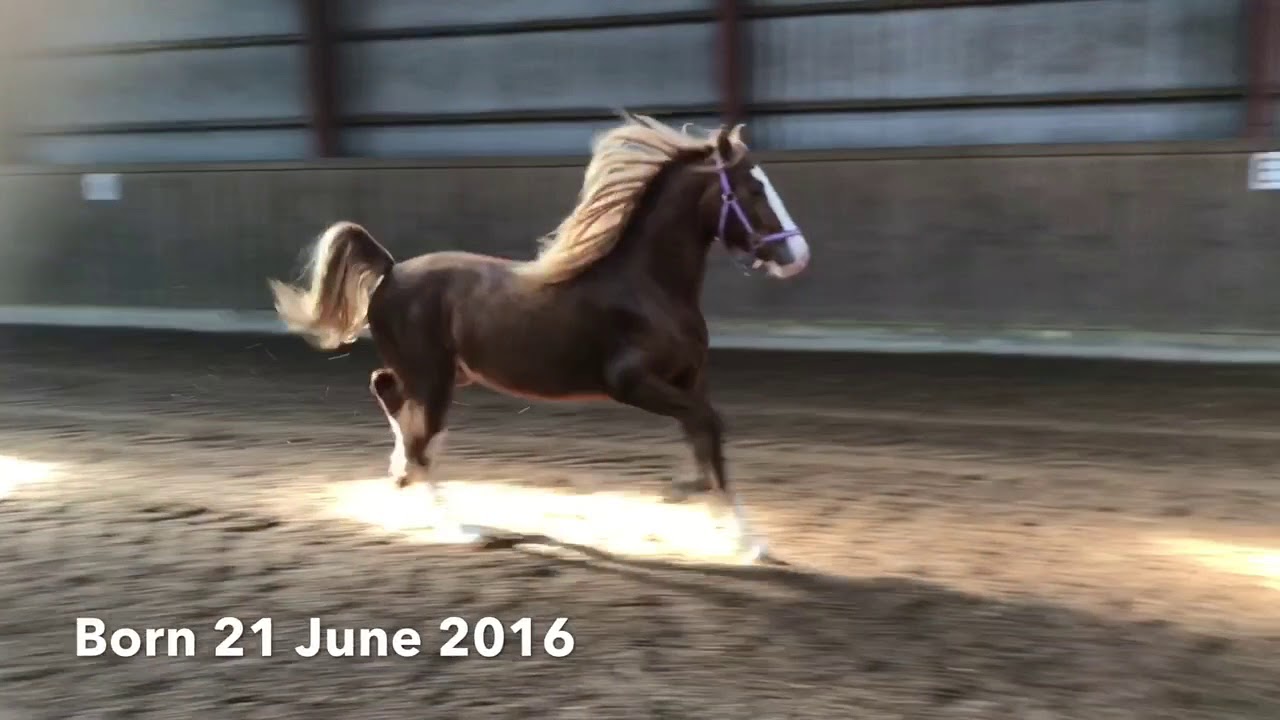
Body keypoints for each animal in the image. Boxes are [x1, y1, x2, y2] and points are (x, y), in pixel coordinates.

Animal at [266, 113, 810, 561]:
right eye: (752, 190)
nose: (797, 254)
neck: (647, 287)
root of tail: (391, 270)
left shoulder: (689, 378)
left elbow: (706, 435)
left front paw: (740, 536)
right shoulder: (631, 382)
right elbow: (707, 427)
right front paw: (689, 498)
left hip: (443, 373)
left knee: (390, 394)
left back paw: (403, 478)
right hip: (434, 376)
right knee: (417, 431)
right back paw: (456, 527)